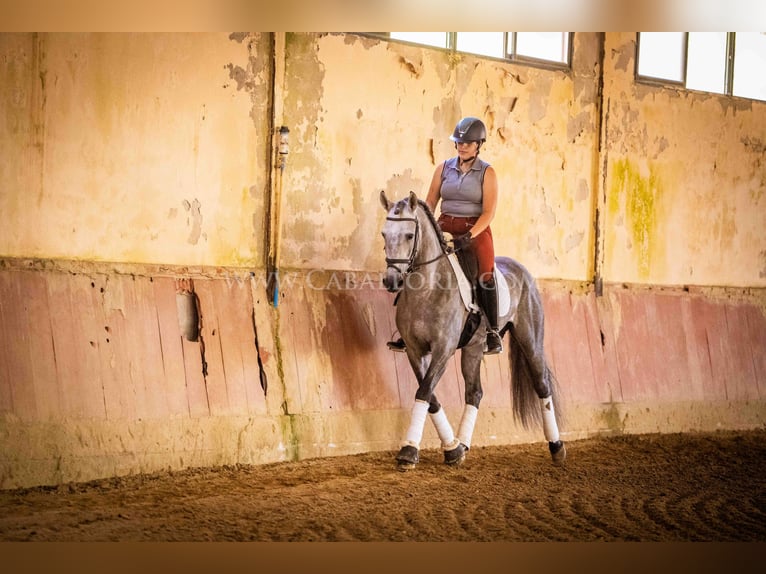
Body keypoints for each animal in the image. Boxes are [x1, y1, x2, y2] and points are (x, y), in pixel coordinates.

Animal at [380, 192, 568, 472]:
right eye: (384, 234)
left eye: (409, 235)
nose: (392, 281)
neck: (427, 288)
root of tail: (521, 269)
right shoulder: (415, 351)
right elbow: (430, 395)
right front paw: (452, 450)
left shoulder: (444, 349)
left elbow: (423, 391)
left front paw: (408, 451)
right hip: (473, 347)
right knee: (474, 392)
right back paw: (463, 444)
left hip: (531, 340)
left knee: (542, 384)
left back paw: (556, 447)